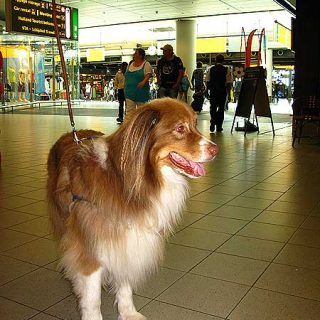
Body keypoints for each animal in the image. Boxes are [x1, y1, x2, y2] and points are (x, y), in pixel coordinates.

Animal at [47, 98, 218, 320]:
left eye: (196, 124)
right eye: (180, 128)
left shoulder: (129, 242)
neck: (125, 182)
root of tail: (70, 134)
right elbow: (92, 299)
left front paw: (128, 313)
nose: (216, 149)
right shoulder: (90, 249)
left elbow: (125, 285)